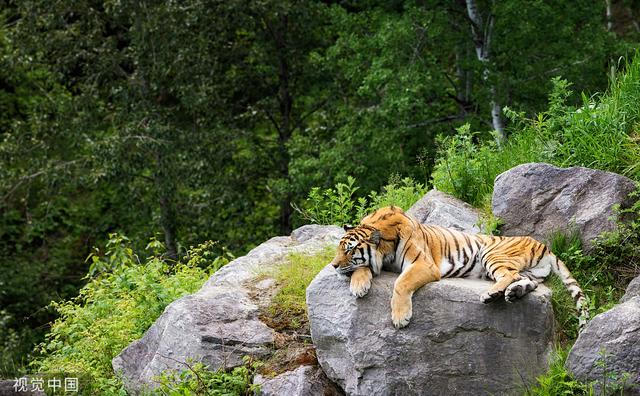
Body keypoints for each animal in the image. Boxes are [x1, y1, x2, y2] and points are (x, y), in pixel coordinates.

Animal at [332, 206, 588, 330]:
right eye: (339, 249)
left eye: (349, 250)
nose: (333, 265)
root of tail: (543, 245)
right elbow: (362, 268)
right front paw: (359, 286)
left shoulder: (424, 264)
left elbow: (401, 283)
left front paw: (400, 317)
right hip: (529, 272)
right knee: (527, 281)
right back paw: (513, 293)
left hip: (491, 253)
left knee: (509, 274)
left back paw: (491, 293)